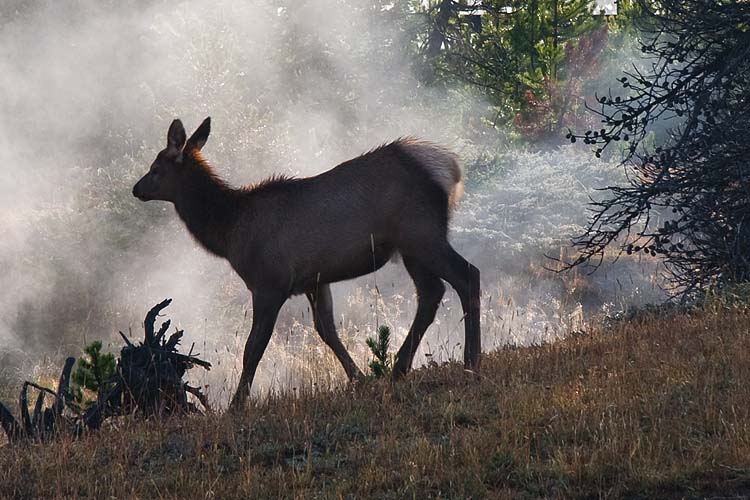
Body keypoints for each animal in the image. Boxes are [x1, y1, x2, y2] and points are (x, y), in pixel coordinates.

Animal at [132, 117, 481, 410]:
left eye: (155, 168)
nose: (136, 189)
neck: (229, 230)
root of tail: (448, 168)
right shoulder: (315, 280)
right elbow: (327, 330)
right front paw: (360, 378)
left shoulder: (269, 282)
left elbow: (253, 347)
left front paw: (236, 405)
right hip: (411, 247)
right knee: (431, 293)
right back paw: (399, 369)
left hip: (421, 233)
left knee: (467, 275)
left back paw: (471, 361)